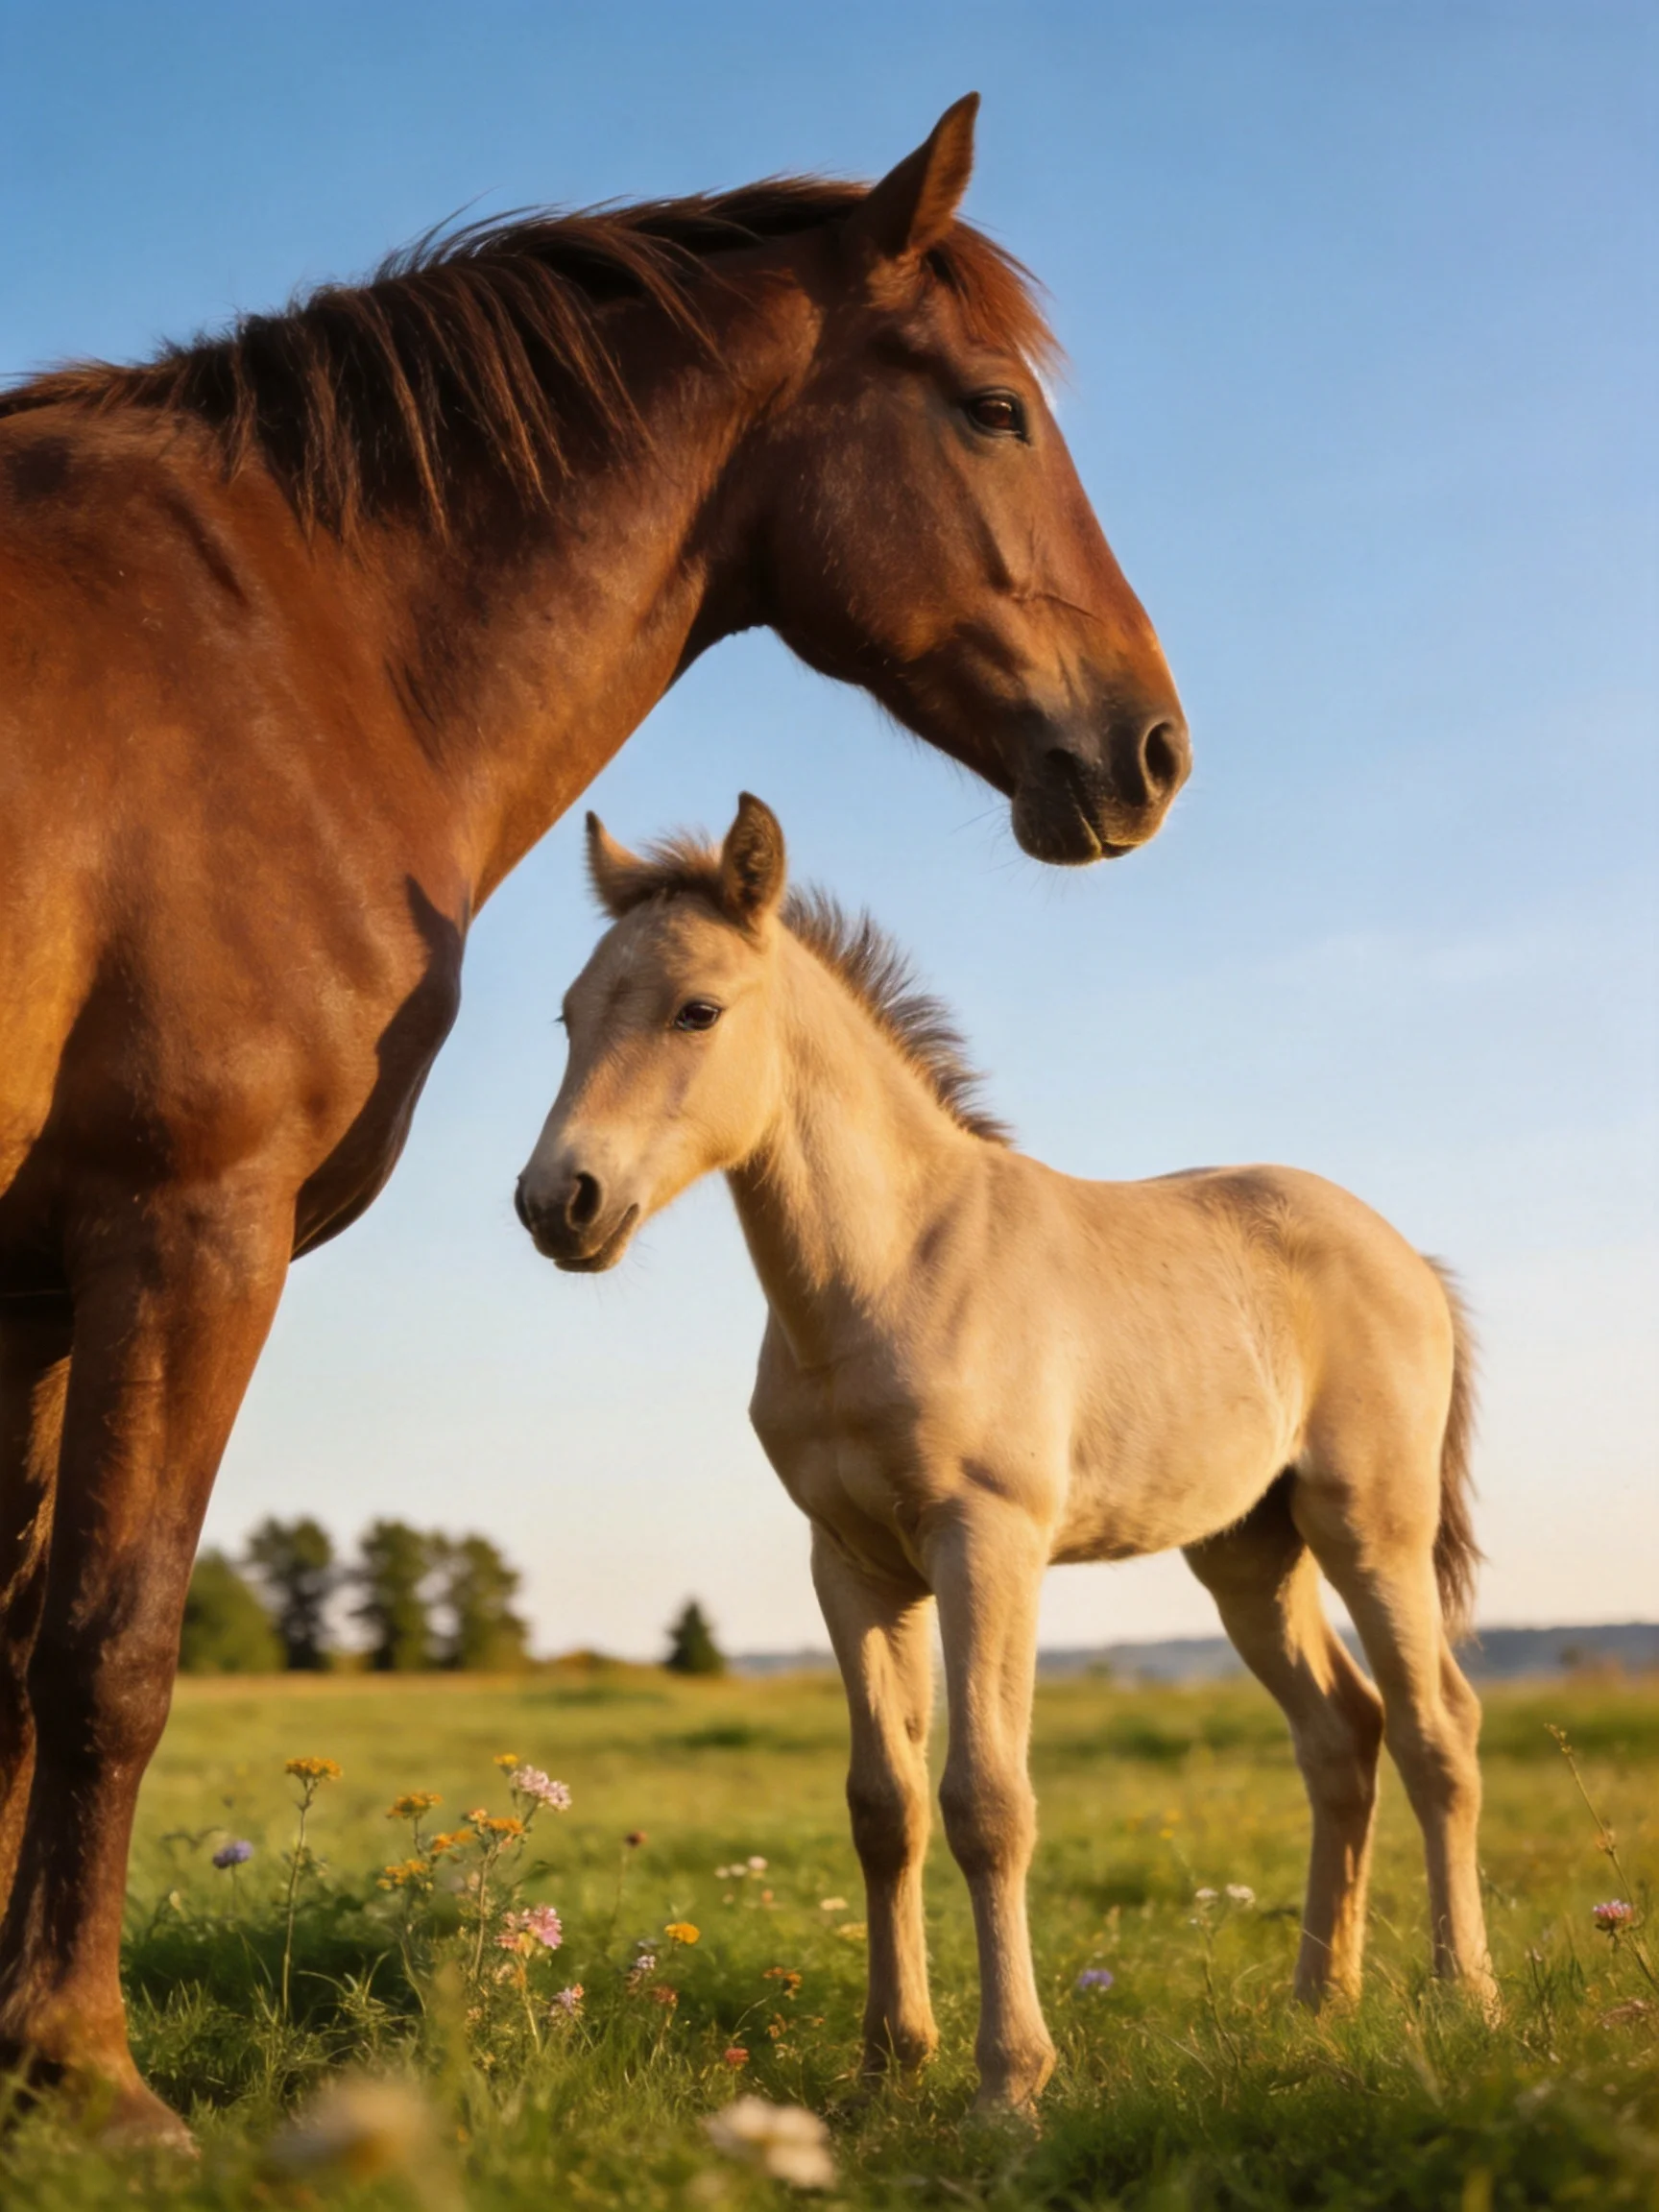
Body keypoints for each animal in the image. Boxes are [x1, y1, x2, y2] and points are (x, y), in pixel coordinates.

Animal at [0, 96, 1188, 2142]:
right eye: (990, 411)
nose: (1153, 746)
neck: (289, 641)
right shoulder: (182, 1216)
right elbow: (111, 1643)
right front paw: (87, 2068)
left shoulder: (31, 1285)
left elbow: (5, 1661)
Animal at [515, 793, 1498, 2111]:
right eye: (570, 1013)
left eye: (696, 1010)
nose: (556, 1202)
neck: (891, 1270)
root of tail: (1409, 1258)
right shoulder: (853, 1563)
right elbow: (882, 1805)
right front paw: (888, 2064)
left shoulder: (989, 1542)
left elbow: (987, 1803)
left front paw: (1008, 2084)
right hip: (1249, 1550)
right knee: (1342, 1732)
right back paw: (1315, 2007)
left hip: (1368, 1525)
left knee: (1440, 1726)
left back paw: (1464, 1999)